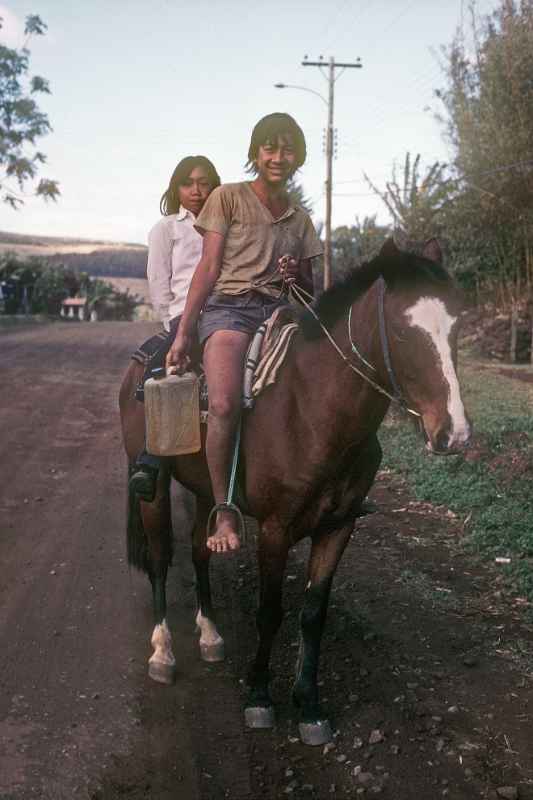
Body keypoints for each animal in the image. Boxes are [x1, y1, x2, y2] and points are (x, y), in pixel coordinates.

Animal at [119, 236, 470, 744]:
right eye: (404, 332)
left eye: (457, 325)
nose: (455, 433)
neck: (312, 409)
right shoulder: (275, 529)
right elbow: (270, 612)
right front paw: (259, 698)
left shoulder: (337, 527)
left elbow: (312, 614)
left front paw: (309, 705)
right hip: (154, 487)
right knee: (162, 558)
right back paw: (163, 651)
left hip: (207, 492)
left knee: (201, 550)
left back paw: (210, 634)